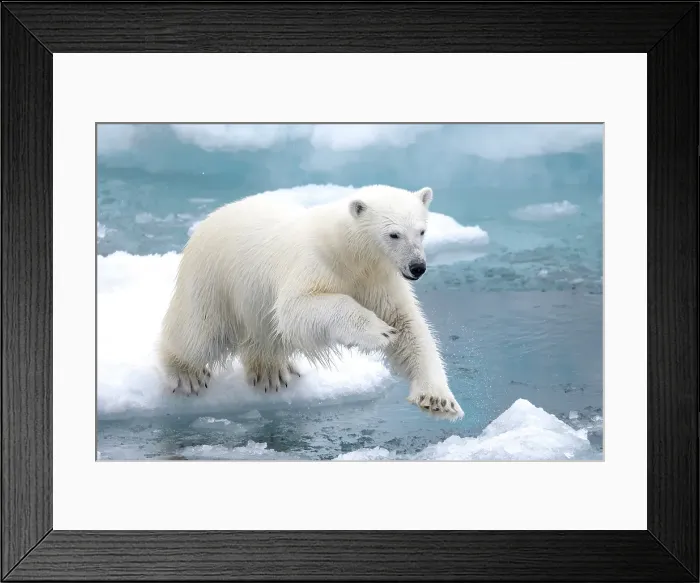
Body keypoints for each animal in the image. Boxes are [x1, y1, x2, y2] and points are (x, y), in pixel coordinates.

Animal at [157, 185, 465, 420]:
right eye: (393, 234)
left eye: (422, 231)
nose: (417, 267)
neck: (349, 253)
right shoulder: (315, 263)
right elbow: (296, 308)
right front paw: (378, 331)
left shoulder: (379, 280)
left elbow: (408, 326)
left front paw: (438, 399)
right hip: (214, 279)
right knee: (199, 332)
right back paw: (187, 373)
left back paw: (272, 371)